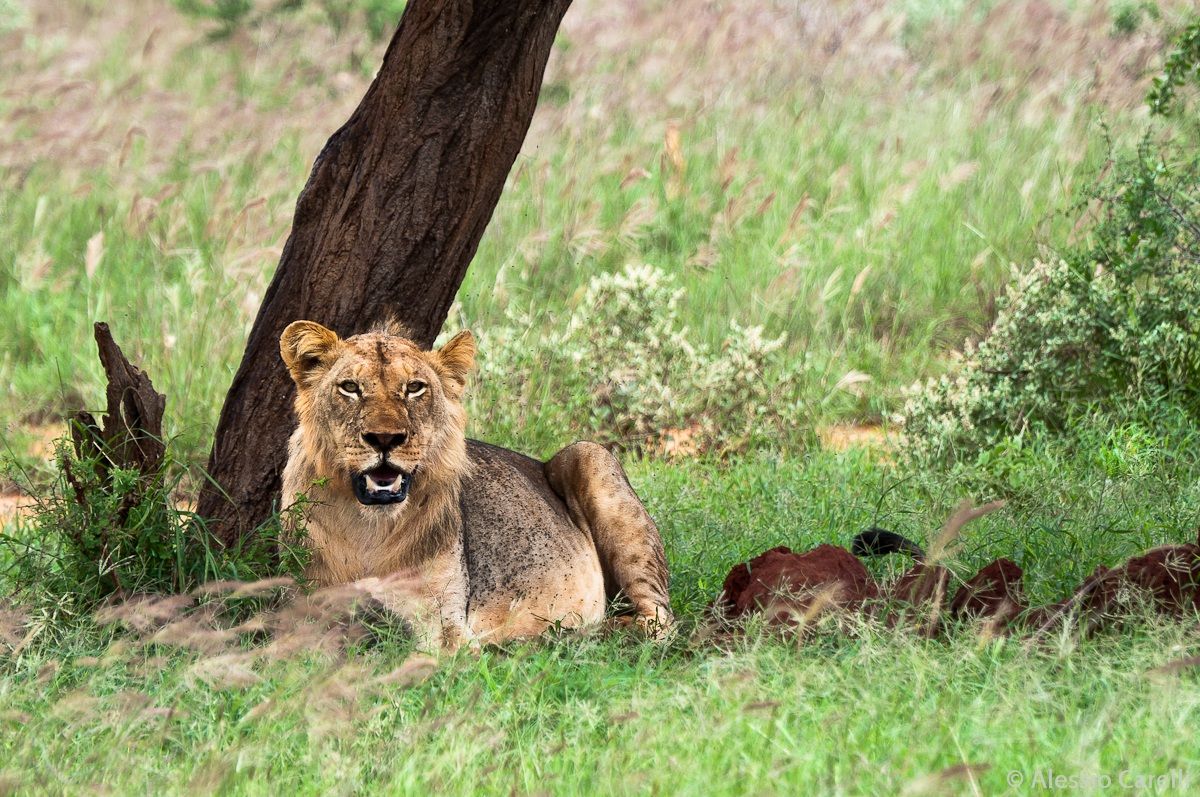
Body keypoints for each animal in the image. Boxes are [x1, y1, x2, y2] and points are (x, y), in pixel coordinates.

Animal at [279, 320, 673, 650]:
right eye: (350, 388)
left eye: (414, 388)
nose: (384, 439)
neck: (368, 529)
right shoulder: (302, 607)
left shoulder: (445, 625)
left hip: (590, 455)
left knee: (659, 622)